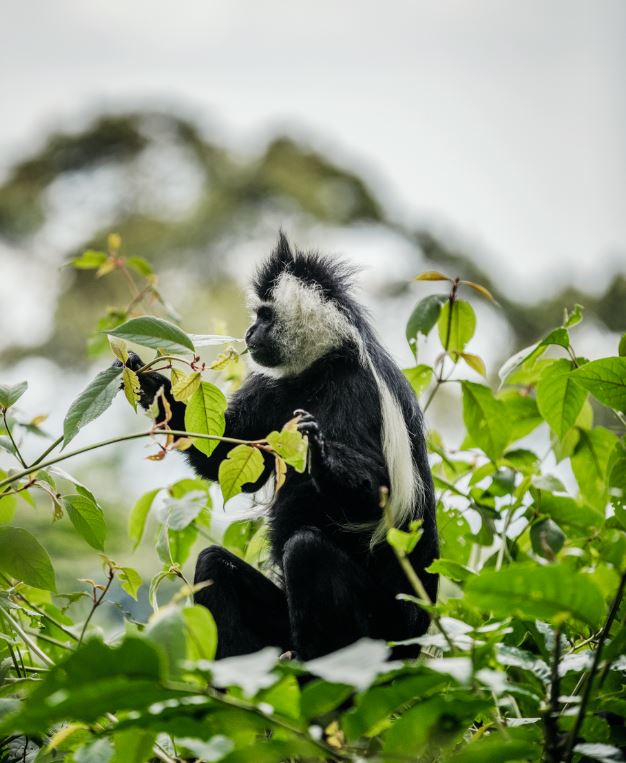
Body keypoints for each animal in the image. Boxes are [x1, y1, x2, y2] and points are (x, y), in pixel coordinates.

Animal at [129, 236, 436, 660]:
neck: (320, 367)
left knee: (308, 551)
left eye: (265, 315)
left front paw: (318, 454)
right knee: (214, 565)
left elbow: (377, 494)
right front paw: (153, 385)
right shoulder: (272, 388)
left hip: (379, 625)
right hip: (279, 619)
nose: (248, 332)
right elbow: (227, 458)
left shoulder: (358, 391)